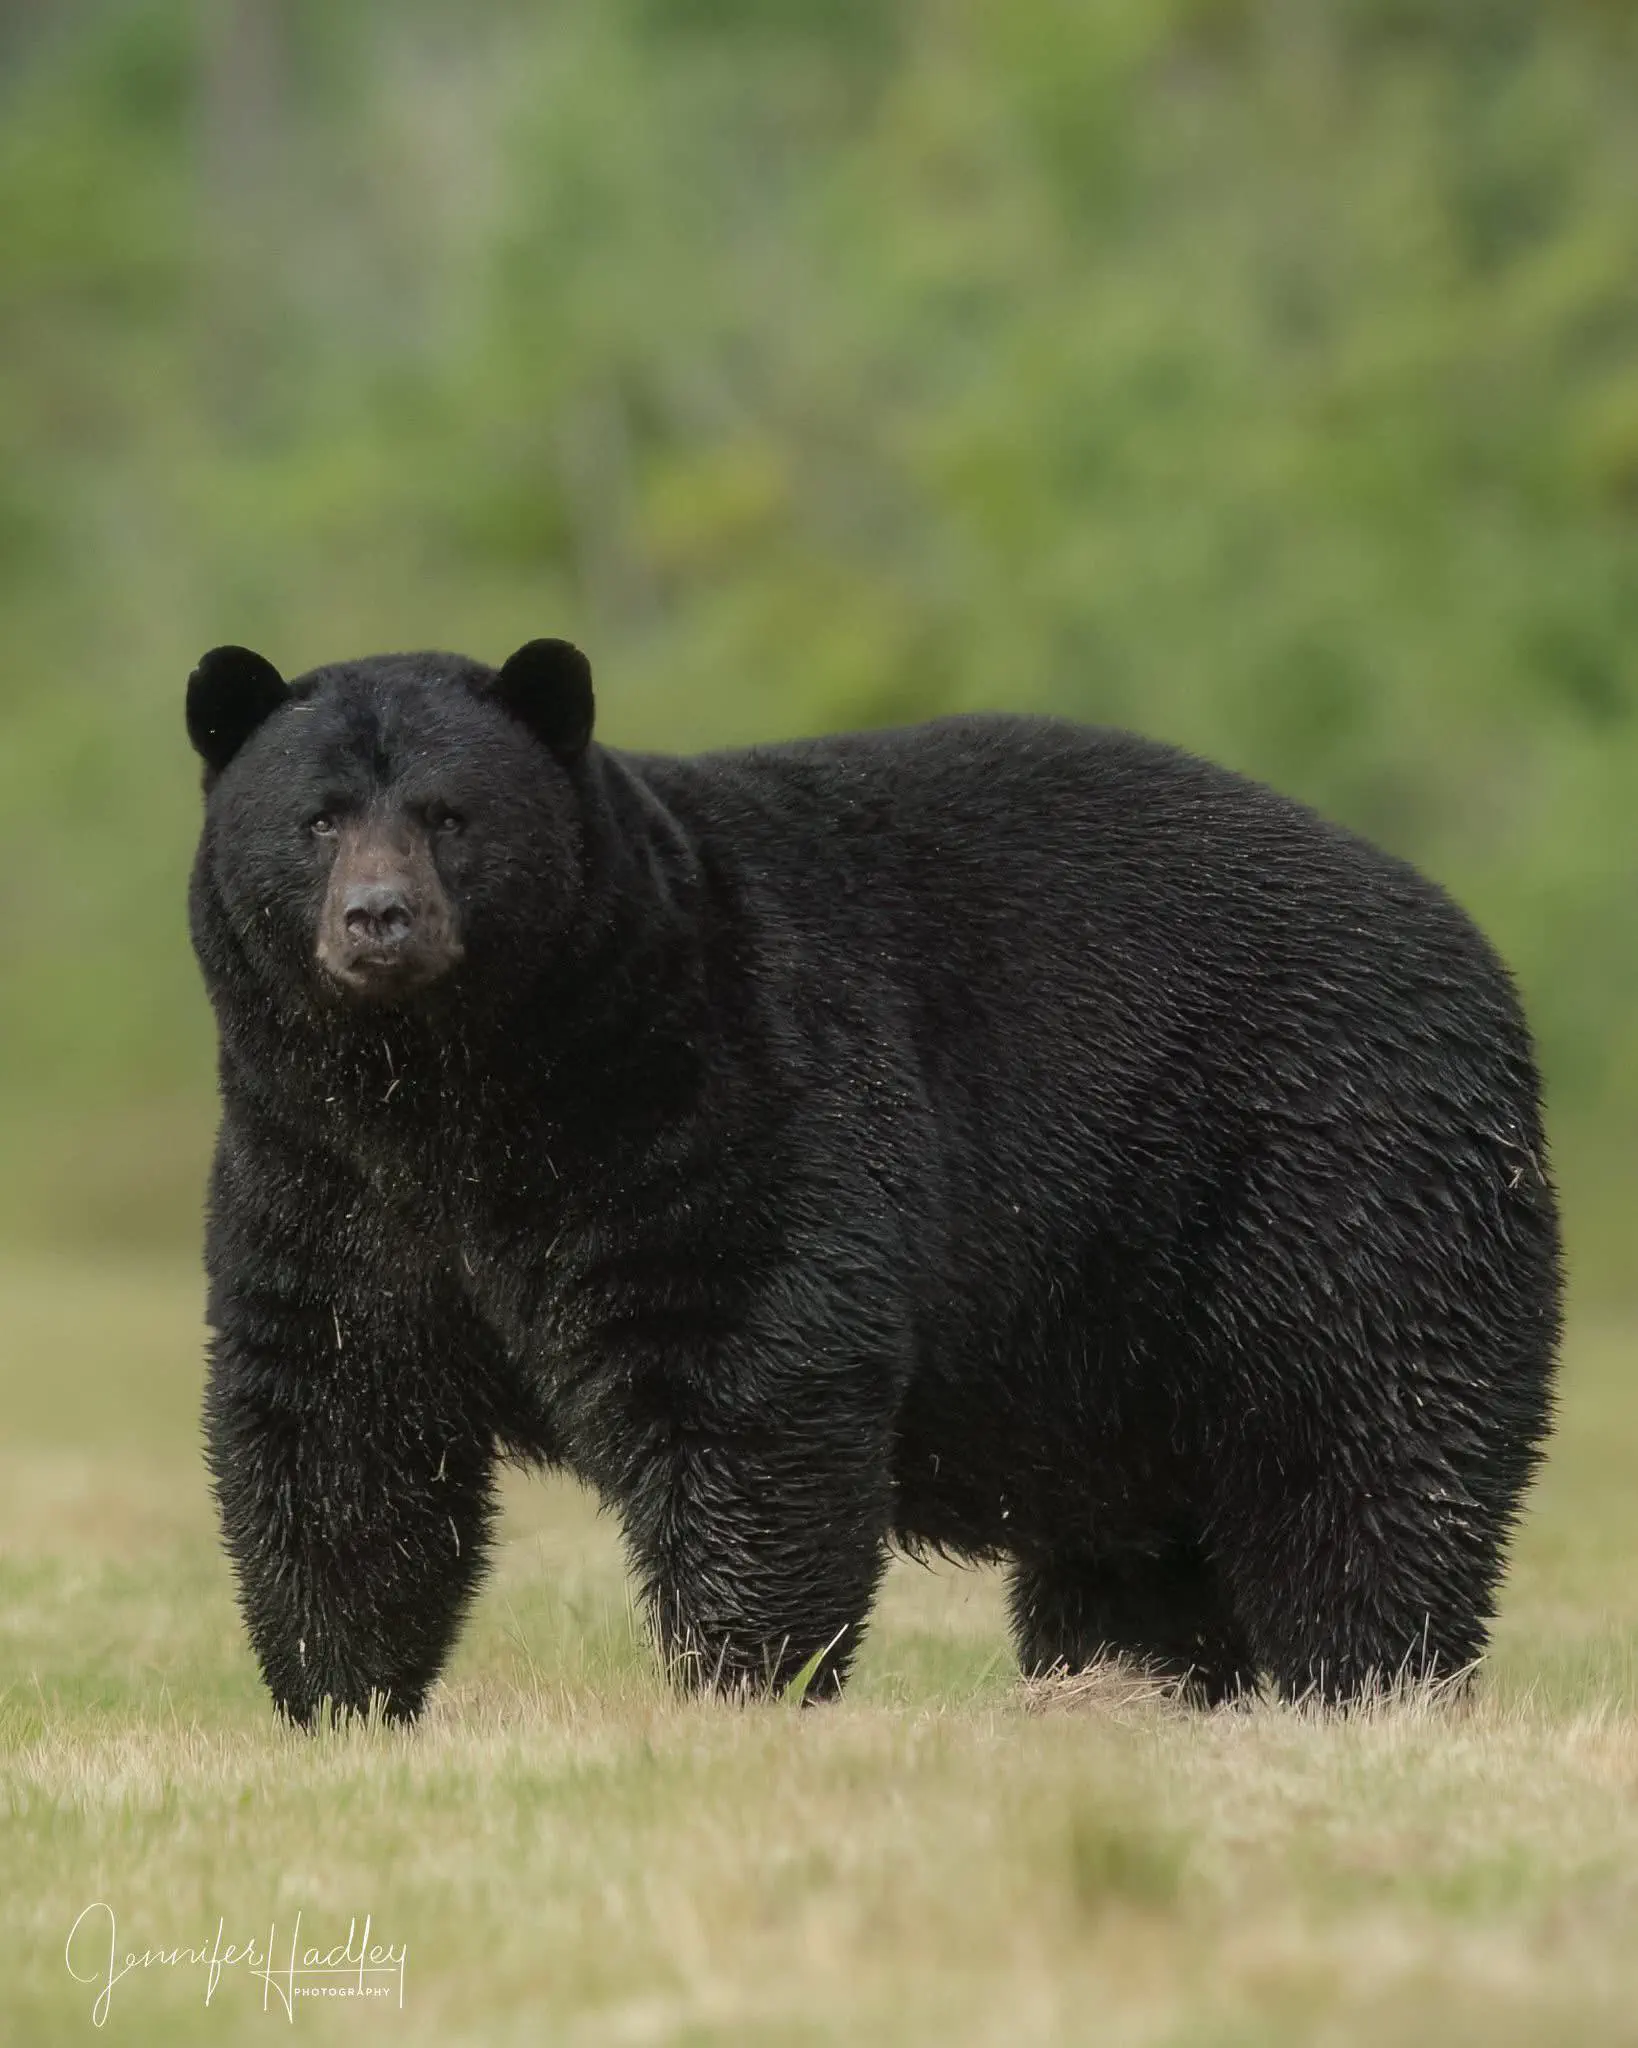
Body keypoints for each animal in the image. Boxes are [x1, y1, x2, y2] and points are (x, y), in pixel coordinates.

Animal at [186, 637, 1562, 1723]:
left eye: (448, 814)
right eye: (318, 817)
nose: (378, 918)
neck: (456, 1095)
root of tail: (1483, 960)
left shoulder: (717, 1092)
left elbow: (747, 1369)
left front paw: (746, 1675)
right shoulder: (320, 1177)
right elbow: (334, 1411)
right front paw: (338, 1693)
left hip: (1331, 1181)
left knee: (1365, 1443)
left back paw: (1369, 1684)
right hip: (1121, 1330)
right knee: (1137, 1546)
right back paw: (1129, 1683)